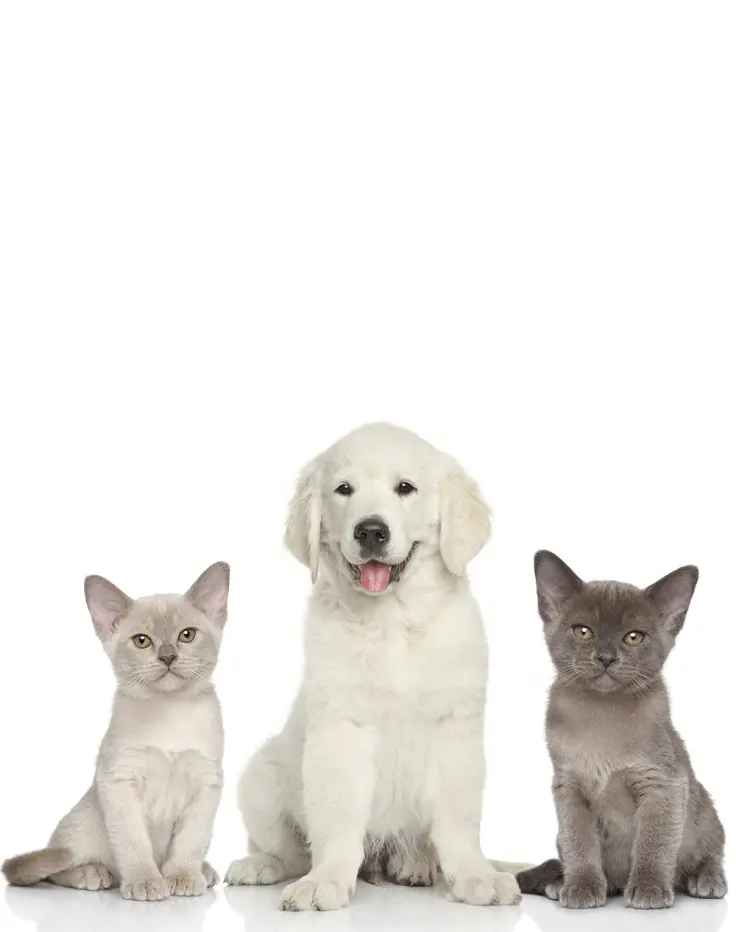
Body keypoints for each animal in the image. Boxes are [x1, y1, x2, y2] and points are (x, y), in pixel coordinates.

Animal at [2, 560, 230, 904]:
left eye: (187, 635)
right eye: (142, 641)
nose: (168, 656)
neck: (170, 711)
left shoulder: (206, 783)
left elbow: (190, 841)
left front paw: (182, 876)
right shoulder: (119, 781)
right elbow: (133, 843)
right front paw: (145, 882)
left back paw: (204, 871)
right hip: (83, 826)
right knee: (57, 864)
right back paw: (93, 874)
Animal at [226, 426, 524, 908]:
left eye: (405, 488)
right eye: (344, 489)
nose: (370, 531)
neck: (392, 622)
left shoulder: (455, 726)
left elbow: (459, 818)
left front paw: (475, 874)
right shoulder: (340, 728)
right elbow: (338, 814)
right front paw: (326, 879)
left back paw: (416, 863)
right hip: (260, 777)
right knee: (287, 849)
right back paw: (261, 865)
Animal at [516, 552, 728, 912]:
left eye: (633, 637)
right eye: (583, 631)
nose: (605, 658)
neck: (601, 717)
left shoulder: (663, 785)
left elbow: (652, 843)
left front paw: (648, 888)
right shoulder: (569, 788)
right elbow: (579, 843)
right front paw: (582, 887)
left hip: (704, 812)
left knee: (711, 852)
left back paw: (706, 880)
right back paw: (564, 884)